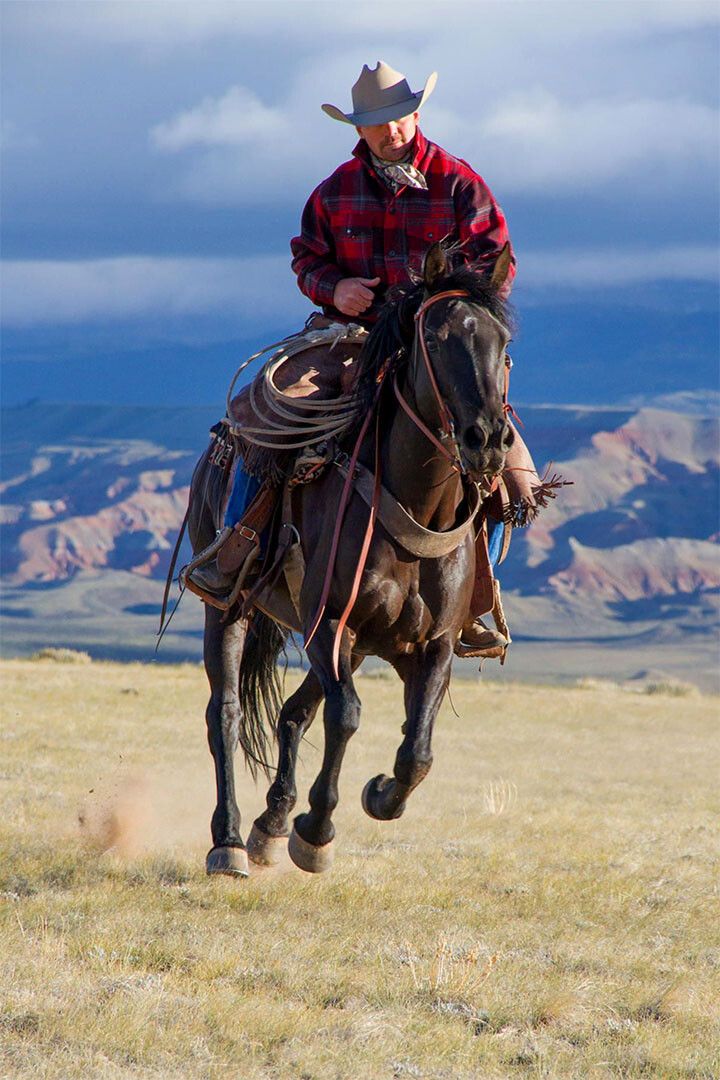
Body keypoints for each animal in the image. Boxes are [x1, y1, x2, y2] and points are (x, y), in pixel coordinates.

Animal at [187, 242, 515, 876]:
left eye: (504, 342)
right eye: (435, 337)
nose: (486, 439)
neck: (413, 507)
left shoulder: (434, 645)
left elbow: (418, 749)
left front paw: (377, 794)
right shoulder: (329, 626)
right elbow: (348, 716)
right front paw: (315, 831)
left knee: (293, 712)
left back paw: (269, 824)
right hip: (229, 604)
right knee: (227, 714)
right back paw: (230, 840)